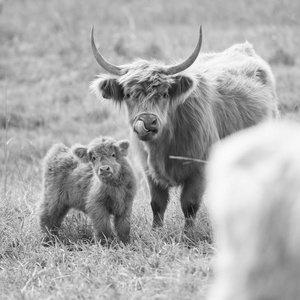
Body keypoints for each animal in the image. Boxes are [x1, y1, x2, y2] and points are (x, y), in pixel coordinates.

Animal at [89, 26, 278, 232]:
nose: (147, 122)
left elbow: (189, 205)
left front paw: (187, 235)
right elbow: (157, 204)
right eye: (129, 95)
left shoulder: (199, 169)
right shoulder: (148, 171)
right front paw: (156, 231)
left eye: (164, 94)